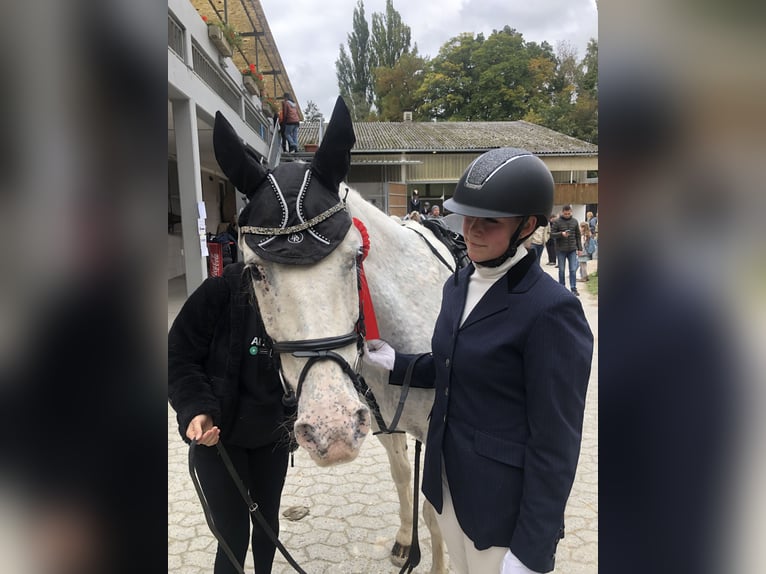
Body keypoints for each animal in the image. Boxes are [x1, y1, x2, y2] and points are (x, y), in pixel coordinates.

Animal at [214, 97, 456, 572]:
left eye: (353, 257)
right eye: (255, 271)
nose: (333, 431)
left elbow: (436, 513)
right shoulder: (383, 424)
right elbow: (405, 478)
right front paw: (408, 543)